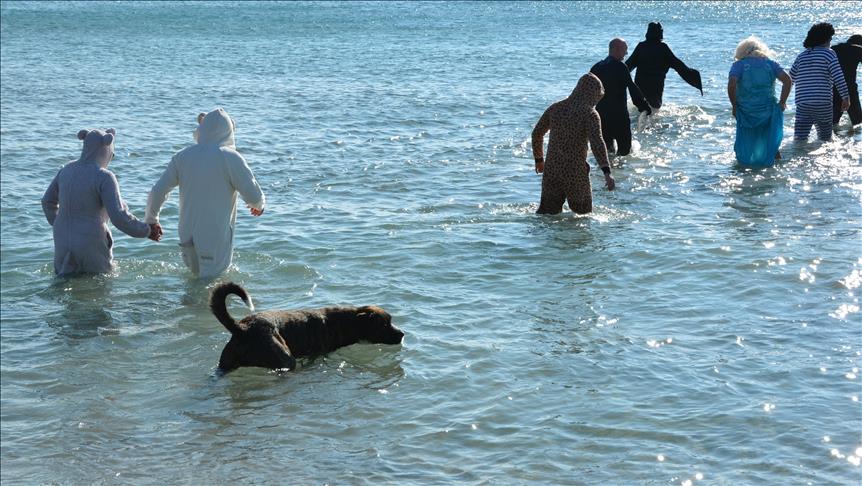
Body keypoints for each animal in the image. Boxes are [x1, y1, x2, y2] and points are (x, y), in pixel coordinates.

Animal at [211, 280, 404, 372]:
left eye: (390, 321)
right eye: (384, 324)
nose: (402, 334)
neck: (346, 321)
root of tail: (242, 329)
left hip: (226, 363)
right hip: (285, 358)